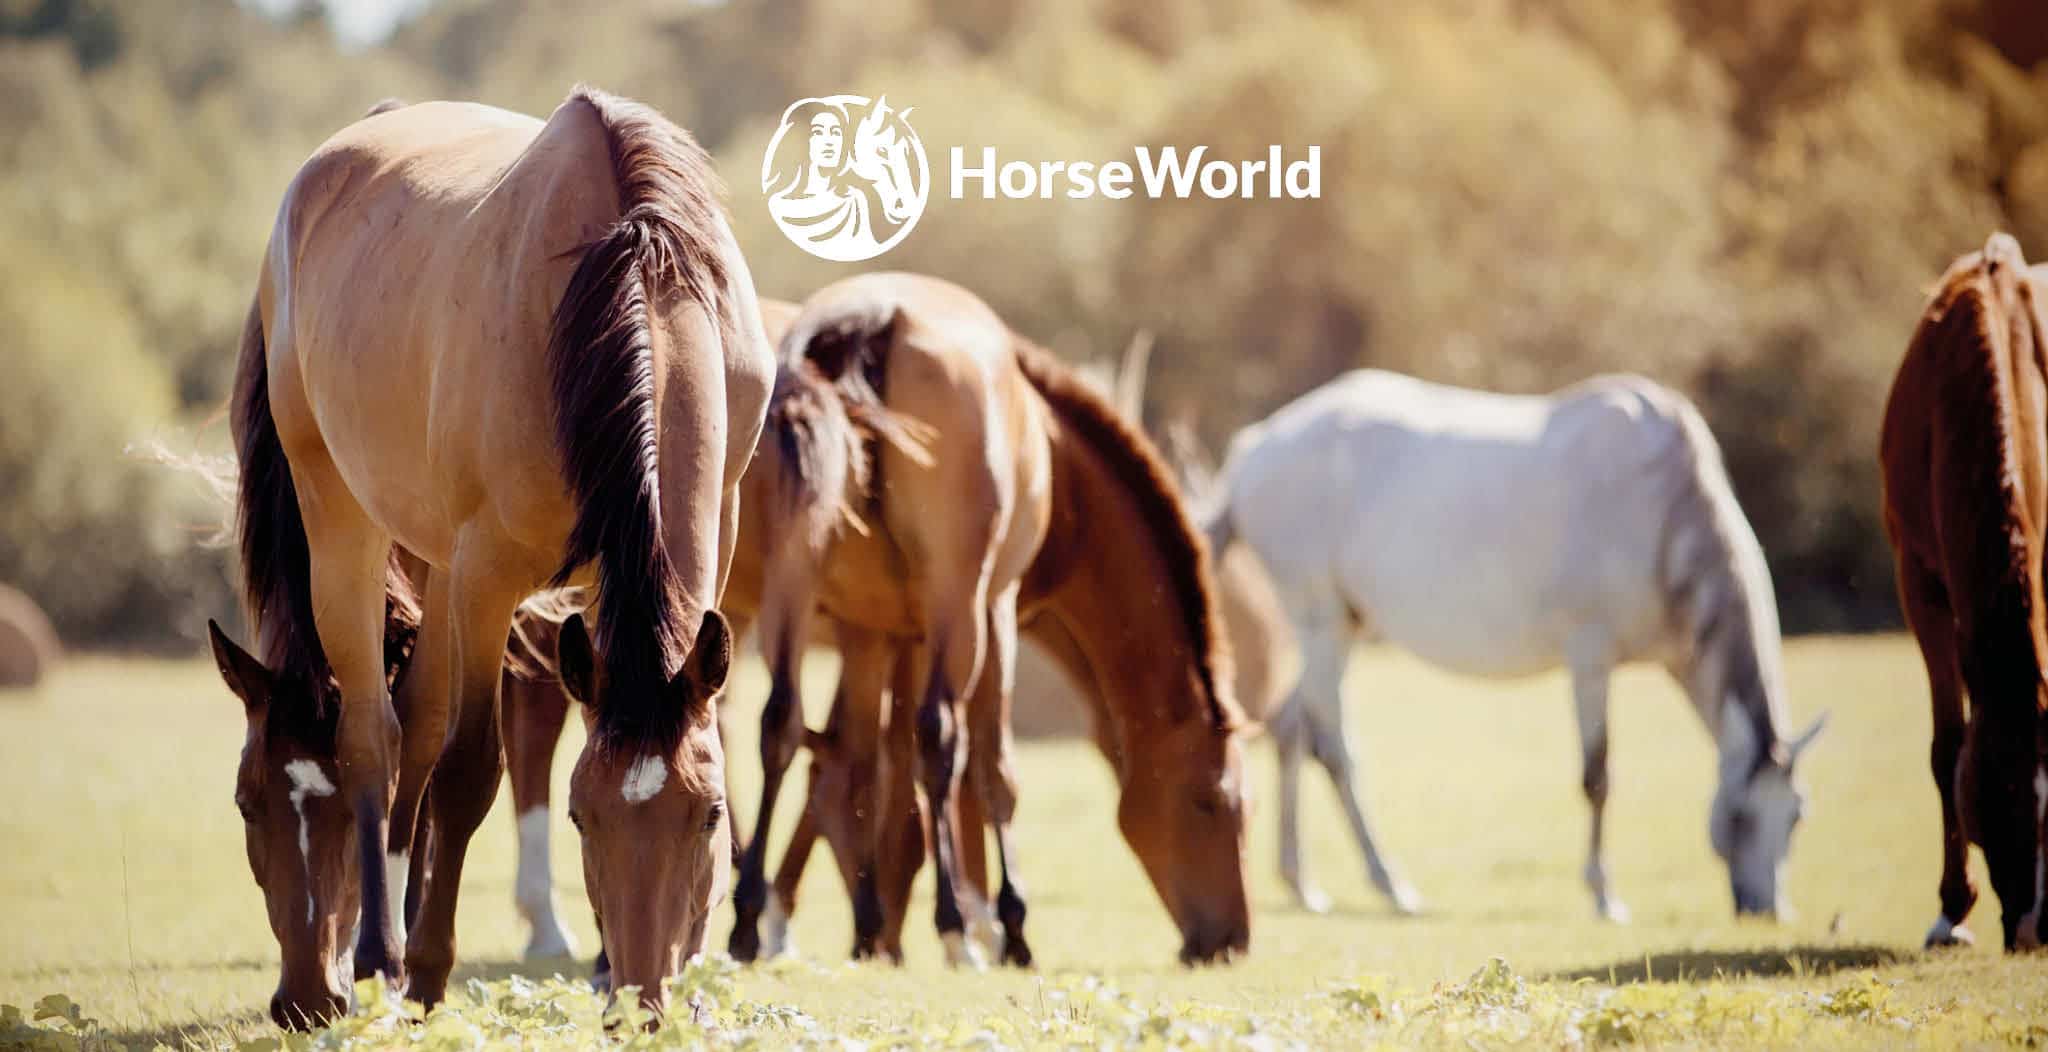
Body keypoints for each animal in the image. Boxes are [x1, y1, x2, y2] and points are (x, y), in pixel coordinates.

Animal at [207, 89, 773, 1024]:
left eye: (709, 815)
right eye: (246, 806)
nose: (645, 1007)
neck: (629, 285)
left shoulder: (694, 548)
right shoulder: (487, 576)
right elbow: (471, 770)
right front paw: (430, 973)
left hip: (433, 562)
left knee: (416, 719)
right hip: (345, 524)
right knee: (378, 733)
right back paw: (380, 958)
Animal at [1204, 369, 1826, 922]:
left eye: (1797, 816)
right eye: (1740, 817)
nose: (1767, 911)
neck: (1664, 508)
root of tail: (1256, 445)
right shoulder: (1590, 657)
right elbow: (1598, 775)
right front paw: (1604, 896)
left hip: (1347, 625)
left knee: (1291, 729)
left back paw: (1303, 884)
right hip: (1319, 620)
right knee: (1333, 748)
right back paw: (1391, 885)